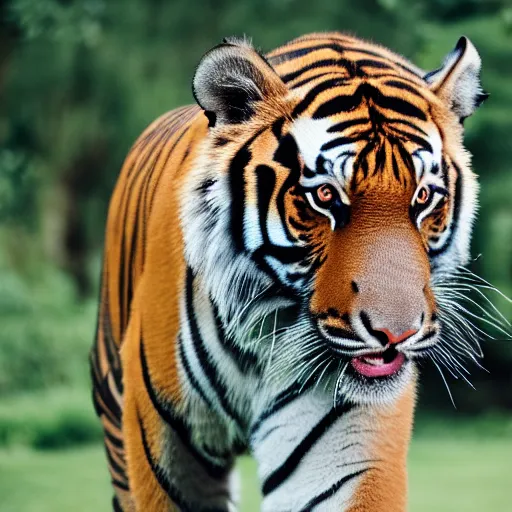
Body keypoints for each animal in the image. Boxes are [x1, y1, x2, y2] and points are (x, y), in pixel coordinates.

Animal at [91, 33, 488, 512]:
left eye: (424, 197)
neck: (261, 334)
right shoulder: (167, 443)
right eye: (325, 196)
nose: (397, 335)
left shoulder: (344, 445)